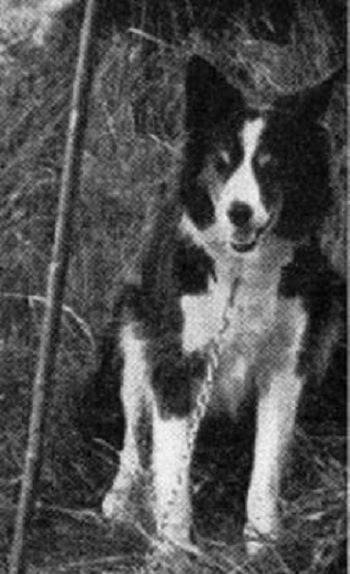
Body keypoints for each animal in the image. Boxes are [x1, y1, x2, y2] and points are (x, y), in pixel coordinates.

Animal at [97, 56, 344, 556]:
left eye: (272, 167)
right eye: (221, 163)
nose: (239, 212)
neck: (241, 272)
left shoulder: (286, 364)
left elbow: (265, 466)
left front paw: (263, 543)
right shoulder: (177, 362)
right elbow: (171, 464)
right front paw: (173, 550)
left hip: (329, 308)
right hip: (132, 328)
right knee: (134, 437)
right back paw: (120, 498)